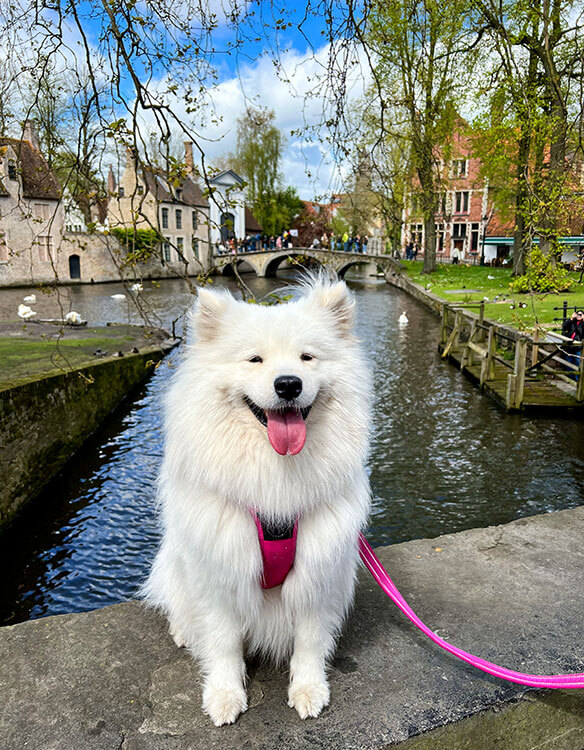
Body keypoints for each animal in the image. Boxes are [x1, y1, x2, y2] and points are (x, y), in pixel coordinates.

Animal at [143, 278, 370, 728]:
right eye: (254, 359)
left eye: (306, 357)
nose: (288, 384)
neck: (276, 479)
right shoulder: (220, 571)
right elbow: (223, 643)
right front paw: (224, 695)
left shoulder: (318, 571)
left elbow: (310, 640)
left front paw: (308, 689)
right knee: (178, 603)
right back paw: (183, 630)